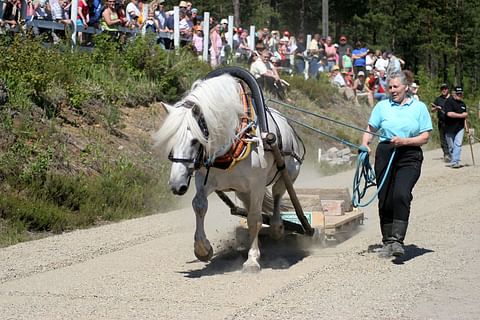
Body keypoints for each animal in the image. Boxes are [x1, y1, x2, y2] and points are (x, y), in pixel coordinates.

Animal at [154, 73, 304, 272]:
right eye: (171, 141)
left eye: (194, 140)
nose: (176, 185)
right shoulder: (205, 179)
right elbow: (199, 205)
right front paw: (203, 248)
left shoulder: (257, 183)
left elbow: (254, 218)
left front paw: (252, 260)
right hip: (243, 190)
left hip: (288, 172)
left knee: (278, 194)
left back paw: (277, 227)